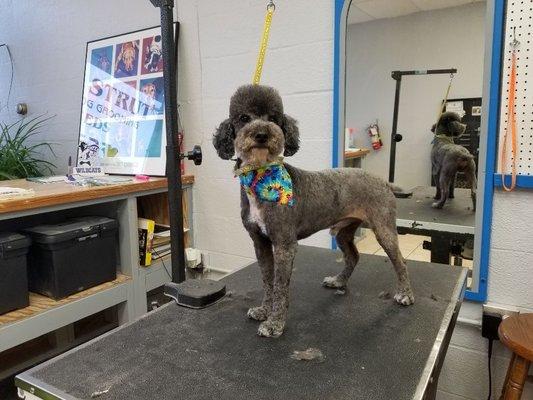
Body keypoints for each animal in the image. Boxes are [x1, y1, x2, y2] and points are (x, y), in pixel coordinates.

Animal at [212, 86, 416, 340]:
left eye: (274, 118)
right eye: (243, 118)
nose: (261, 134)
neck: (261, 177)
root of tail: (384, 182)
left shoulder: (285, 245)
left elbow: (280, 287)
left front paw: (275, 323)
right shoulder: (260, 242)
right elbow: (267, 281)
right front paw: (264, 311)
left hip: (384, 229)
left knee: (401, 262)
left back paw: (405, 294)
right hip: (343, 232)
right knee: (353, 256)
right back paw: (339, 281)